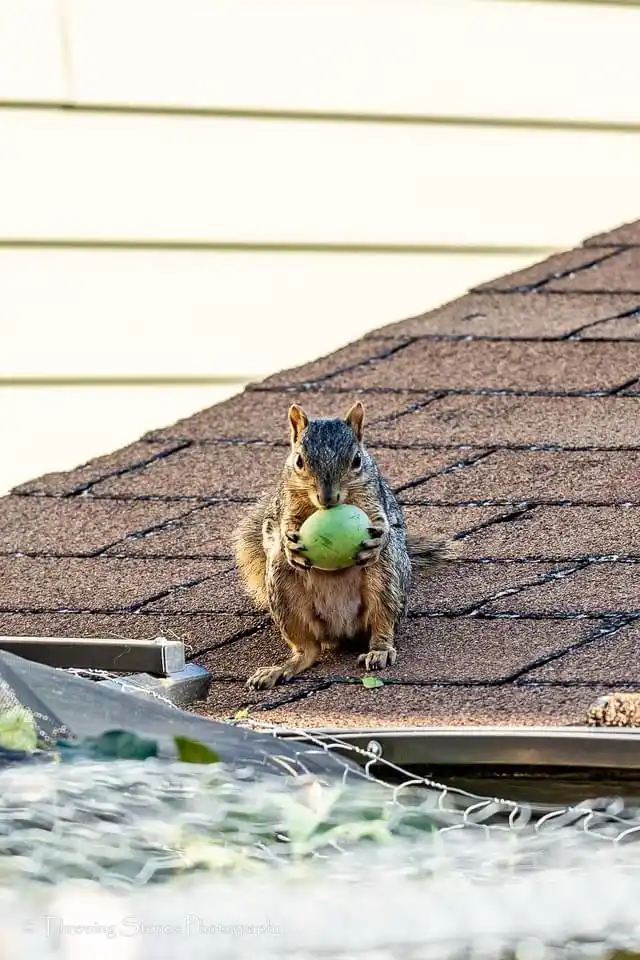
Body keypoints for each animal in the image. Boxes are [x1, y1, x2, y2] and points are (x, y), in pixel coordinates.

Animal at [232, 401, 452, 690]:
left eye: (356, 460)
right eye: (299, 461)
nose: (328, 497)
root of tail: (341, 628)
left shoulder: (371, 494)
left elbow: (381, 520)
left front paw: (379, 538)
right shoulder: (288, 500)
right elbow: (284, 524)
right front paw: (289, 544)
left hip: (387, 579)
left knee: (382, 624)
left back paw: (379, 651)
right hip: (283, 591)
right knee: (308, 649)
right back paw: (282, 668)